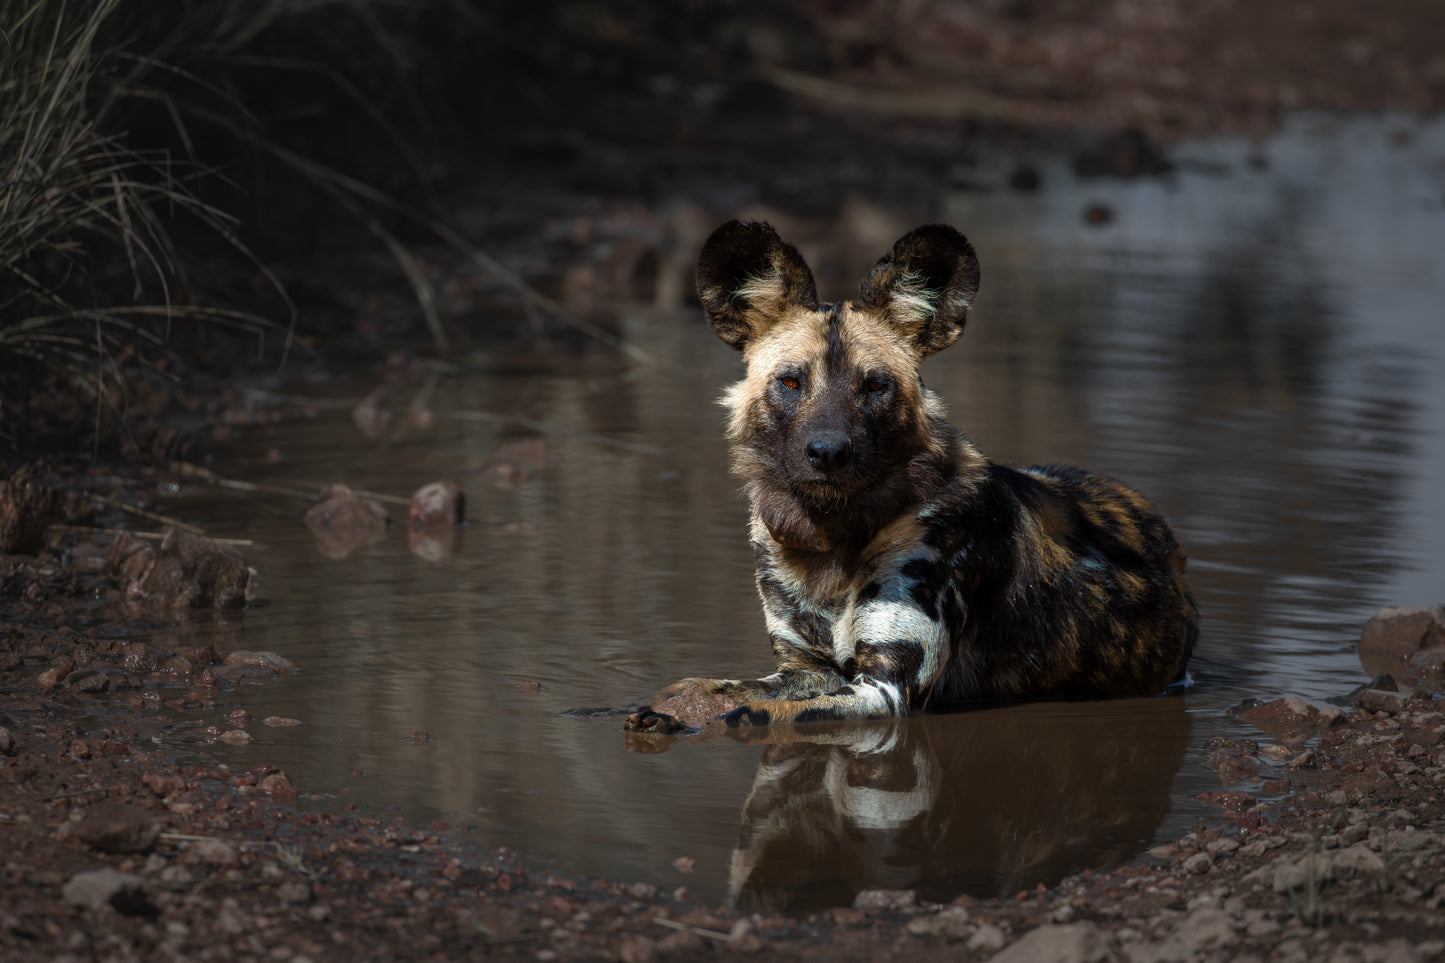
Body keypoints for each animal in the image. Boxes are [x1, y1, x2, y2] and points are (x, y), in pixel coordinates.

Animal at [627, 219, 1190, 728]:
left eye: (876, 386)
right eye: (790, 382)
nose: (828, 452)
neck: (830, 541)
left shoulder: (883, 691)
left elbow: (754, 712)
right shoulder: (803, 669)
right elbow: (708, 687)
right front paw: (666, 707)